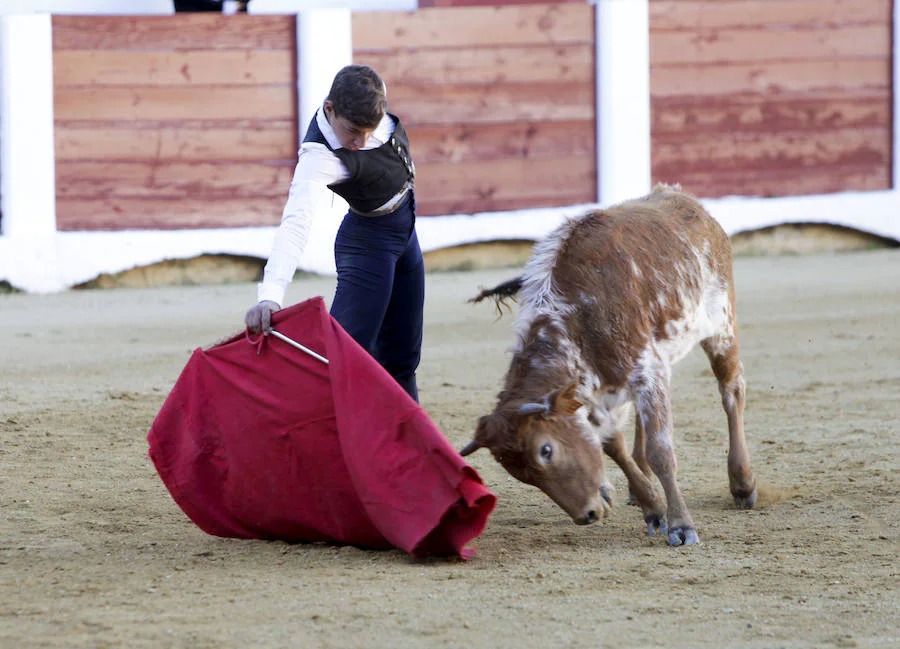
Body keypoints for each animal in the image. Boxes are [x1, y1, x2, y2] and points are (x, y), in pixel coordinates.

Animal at [460, 184, 756, 548]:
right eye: (516, 472)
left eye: (546, 450)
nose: (587, 515)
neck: (580, 319)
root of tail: (682, 199)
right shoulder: (596, 391)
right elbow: (612, 444)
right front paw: (652, 507)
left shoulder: (647, 373)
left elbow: (661, 450)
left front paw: (680, 525)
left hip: (721, 327)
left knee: (732, 391)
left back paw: (742, 483)